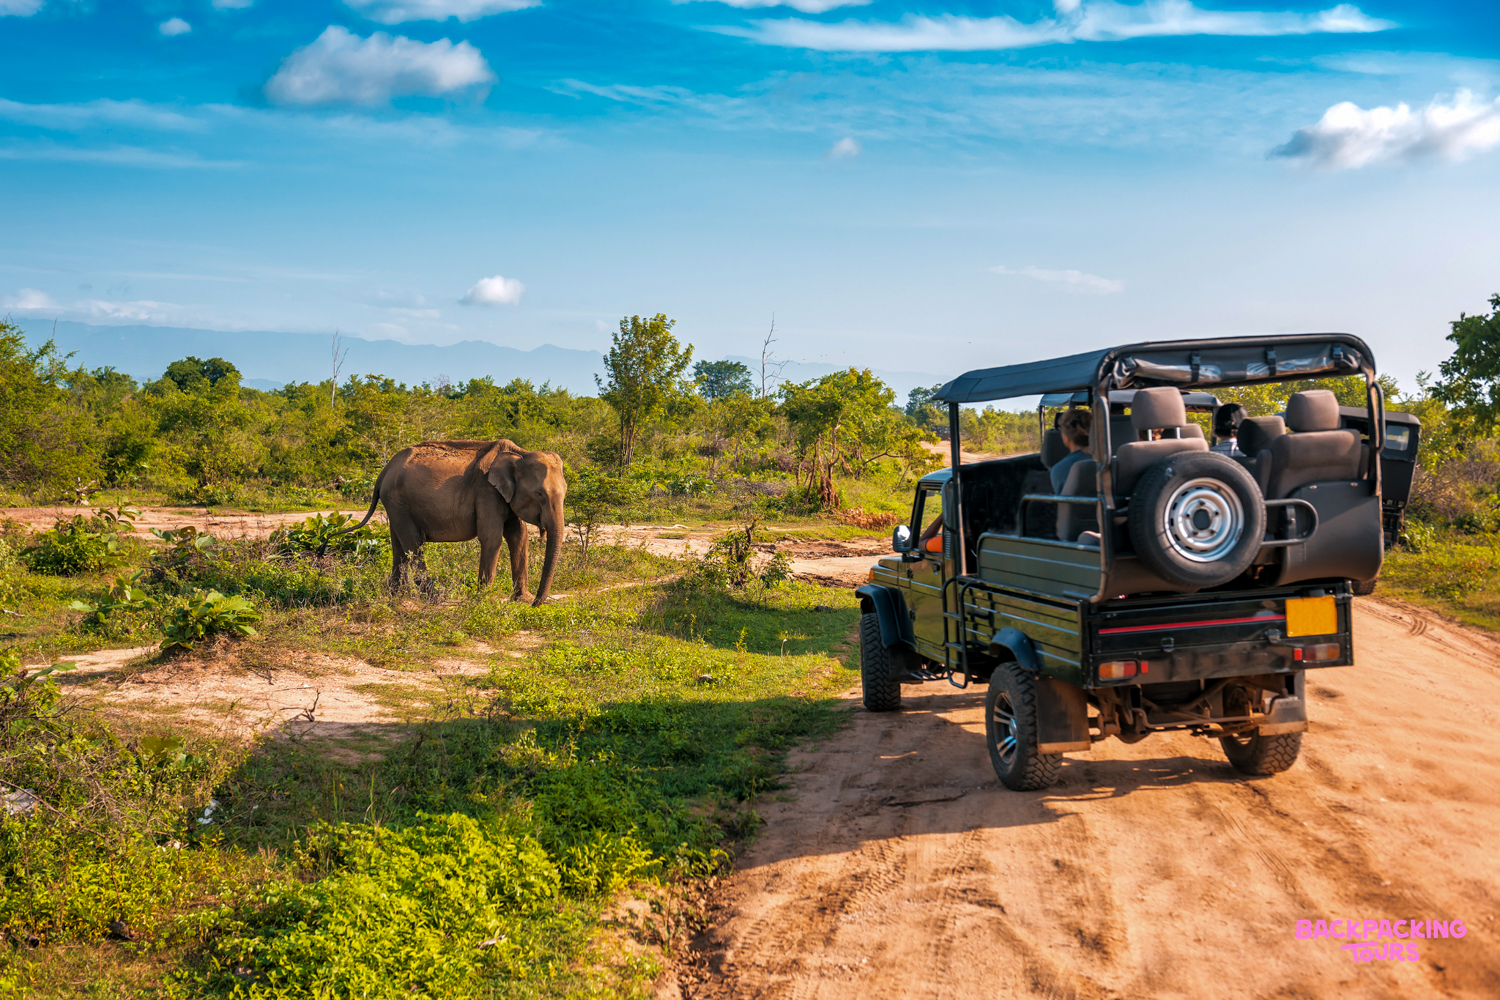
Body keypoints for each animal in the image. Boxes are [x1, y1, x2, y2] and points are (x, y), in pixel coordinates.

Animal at [326, 439, 567, 606]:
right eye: (540, 494)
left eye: (565, 493)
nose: (537, 603)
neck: (519, 454)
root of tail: (383, 471)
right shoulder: (486, 492)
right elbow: (492, 537)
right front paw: (484, 600)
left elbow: (519, 536)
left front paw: (521, 599)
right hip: (398, 501)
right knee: (414, 543)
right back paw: (434, 598)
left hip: (394, 504)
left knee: (399, 546)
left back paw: (397, 597)